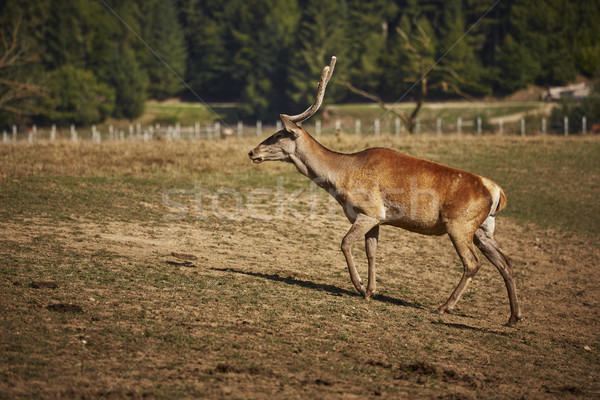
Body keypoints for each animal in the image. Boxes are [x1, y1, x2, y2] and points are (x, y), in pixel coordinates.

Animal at [248, 57, 520, 324]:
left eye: (279, 134)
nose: (252, 152)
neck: (340, 179)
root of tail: (497, 192)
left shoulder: (368, 211)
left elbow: (345, 243)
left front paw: (359, 286)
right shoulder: (377, 219)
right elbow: (372, 252)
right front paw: (371, 291)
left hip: (459, 224)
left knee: (472, 263)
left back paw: (443, 307)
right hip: (483, 228)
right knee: (505, 261)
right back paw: (513, 317)